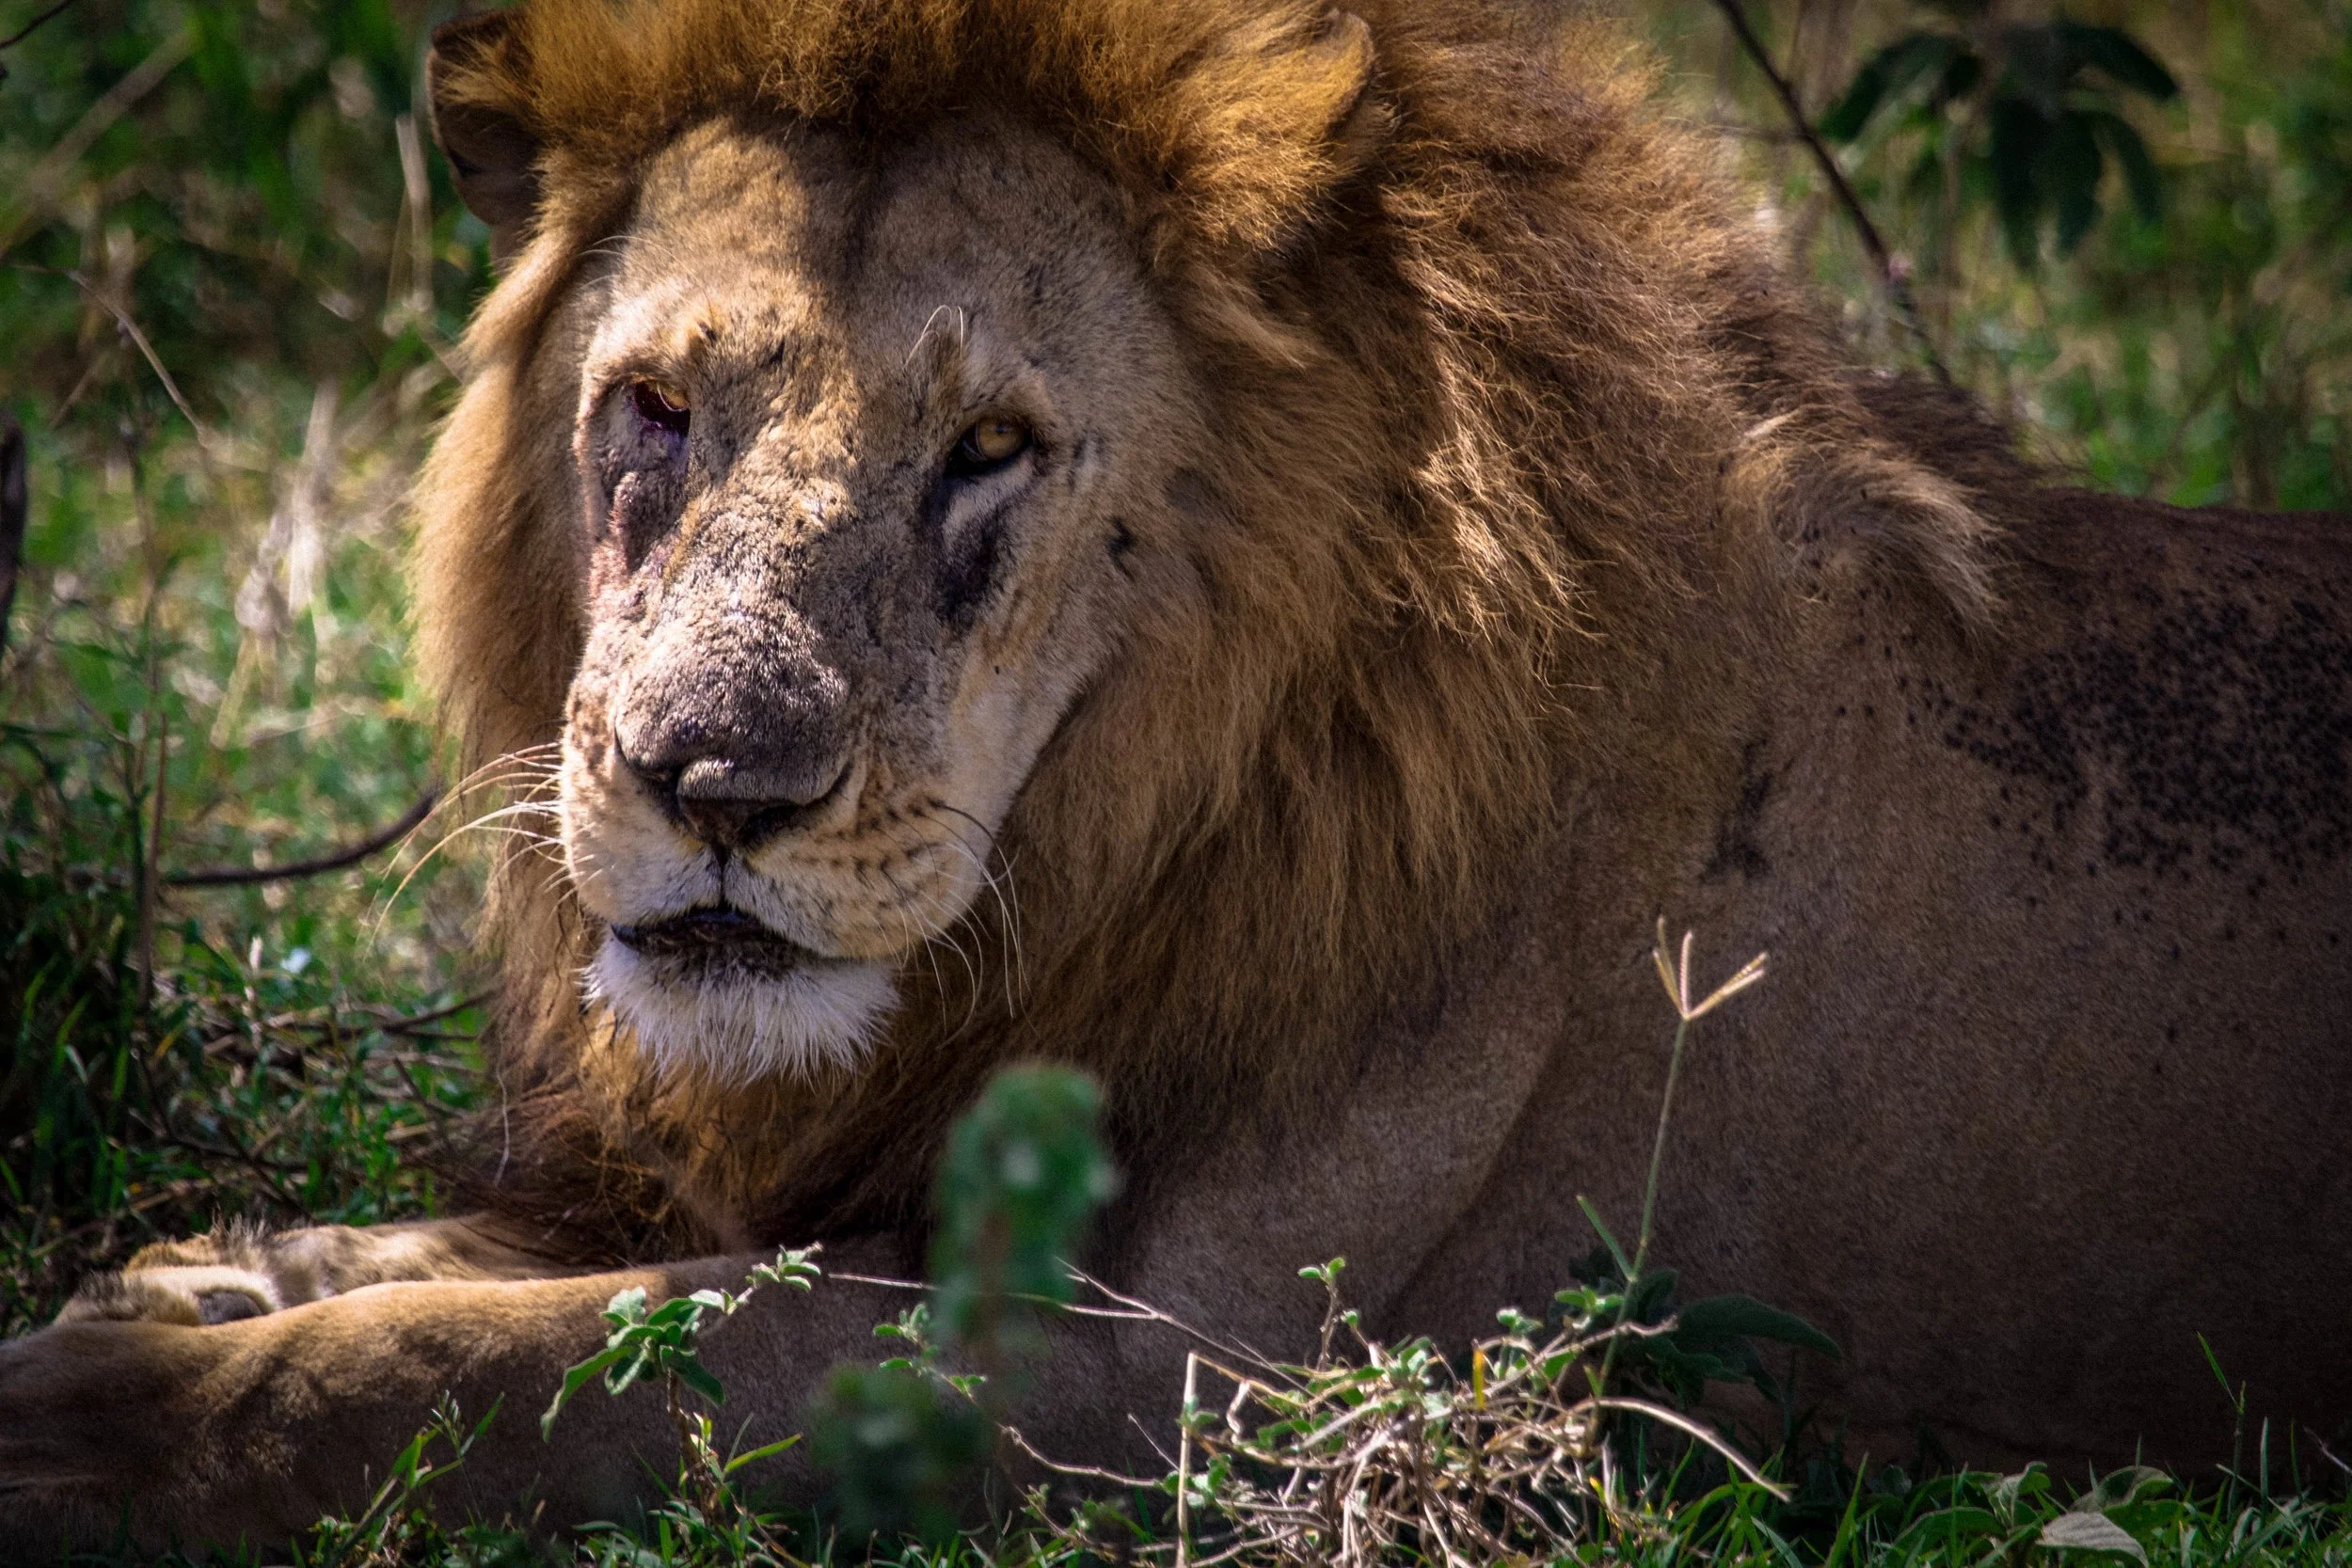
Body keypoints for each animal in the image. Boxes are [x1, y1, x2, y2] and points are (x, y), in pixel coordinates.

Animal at [3, 0, 2348, 1550]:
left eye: (987, 450)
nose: (711, 783)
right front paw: (214, 1271)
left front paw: (104, 1409)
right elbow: (509, 1268)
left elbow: (558, 1362)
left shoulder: (1191, 1368)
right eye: (654, 409)